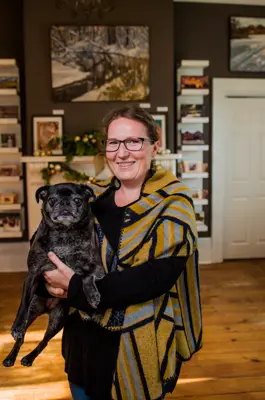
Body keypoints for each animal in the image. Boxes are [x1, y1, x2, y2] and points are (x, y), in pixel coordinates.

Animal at [3, 183, 104, 368]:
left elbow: (84, 276)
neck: (64, 232)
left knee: (44, 341)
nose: (64, 203)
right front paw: (16, 326)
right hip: (33, 311)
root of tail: (47, 309)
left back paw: (29, 357)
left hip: (58, 319)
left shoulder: (97, 268)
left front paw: (93, 296)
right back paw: (11, 357)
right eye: (51, 200)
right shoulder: (33, 273)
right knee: (21, 338)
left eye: (78, 200)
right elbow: (22, 304)